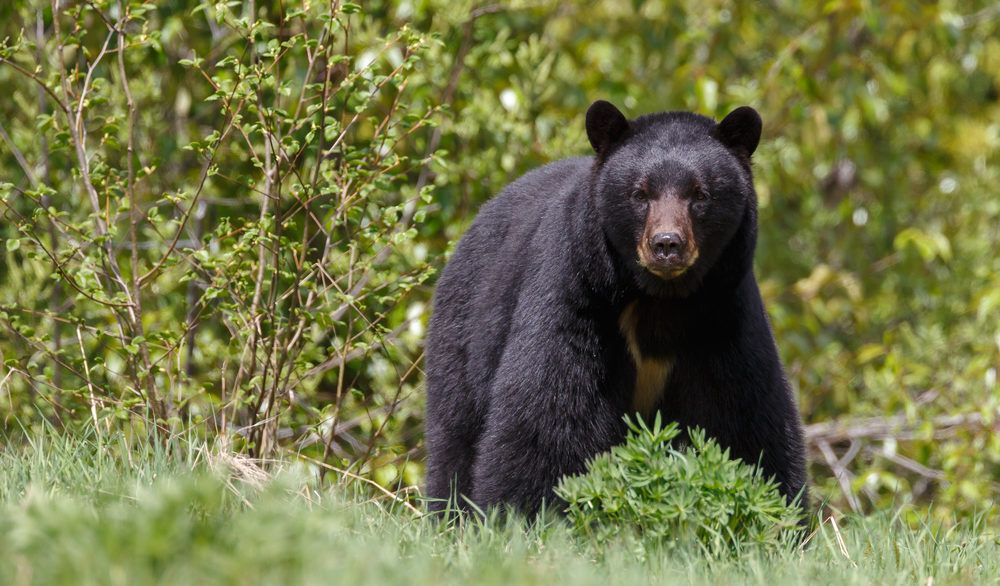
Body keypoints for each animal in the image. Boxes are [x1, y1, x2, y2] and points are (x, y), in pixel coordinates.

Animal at [424, 100, 808, 516]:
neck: (660, 299)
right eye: (640, 193)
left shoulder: (721, 315)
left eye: (700, 194)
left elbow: (743, 417)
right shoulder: (578, 296)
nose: (667, 244)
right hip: (464, 332)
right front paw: (523, 513)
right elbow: (549, 413)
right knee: (455, 434)